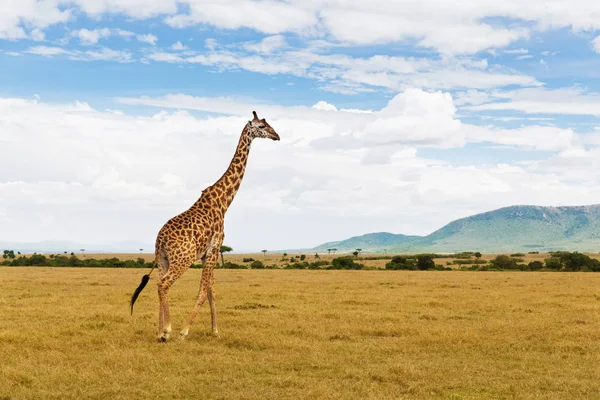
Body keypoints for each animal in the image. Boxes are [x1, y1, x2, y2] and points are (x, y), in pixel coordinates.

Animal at [130, 111, 280, 340]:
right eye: (262, 126)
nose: (277, 136)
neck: (224, 201)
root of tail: (160, 239)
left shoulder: (207, 254)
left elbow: (211, 291)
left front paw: (215, 330)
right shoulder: (214, 248)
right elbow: (202, 292)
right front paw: (184, 331)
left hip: (163, 259)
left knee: (159, 284)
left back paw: (160, 332)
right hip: (182, 259)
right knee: (164, 284)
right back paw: (168, 329)